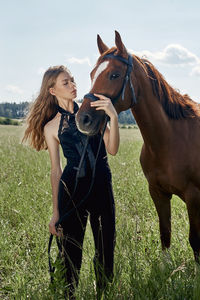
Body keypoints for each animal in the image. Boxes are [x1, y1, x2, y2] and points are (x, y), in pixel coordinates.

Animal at [76, 29, 200, 260]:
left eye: (114, 75)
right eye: (92, 74)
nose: (83, 119)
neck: (170, 140)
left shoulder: (194, 196)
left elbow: (195, 241)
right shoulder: (158, 193)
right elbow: (165, 234)